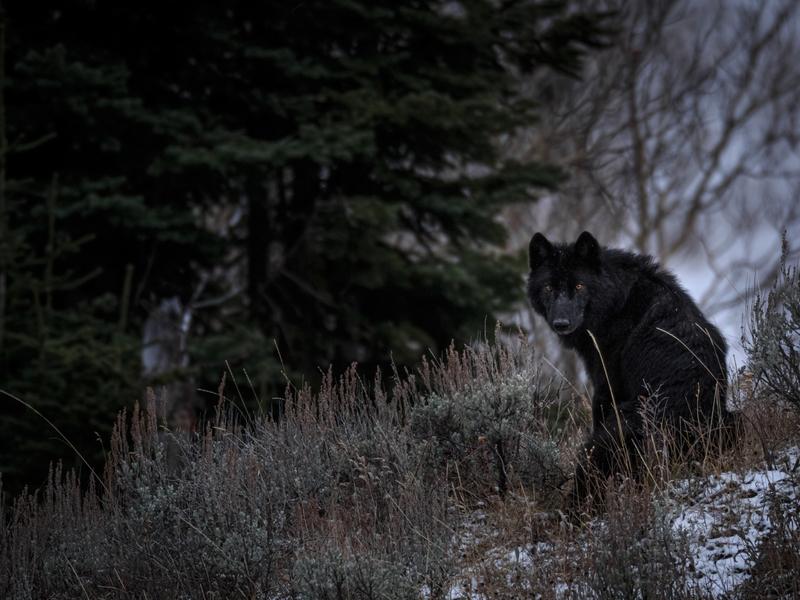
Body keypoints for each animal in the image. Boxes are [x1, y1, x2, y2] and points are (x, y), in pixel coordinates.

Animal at [528, 230, 736, 510]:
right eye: (549, 287)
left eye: (579, 286)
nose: (561, 323)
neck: (617, 302)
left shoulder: (606, 389)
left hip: (605, 439)